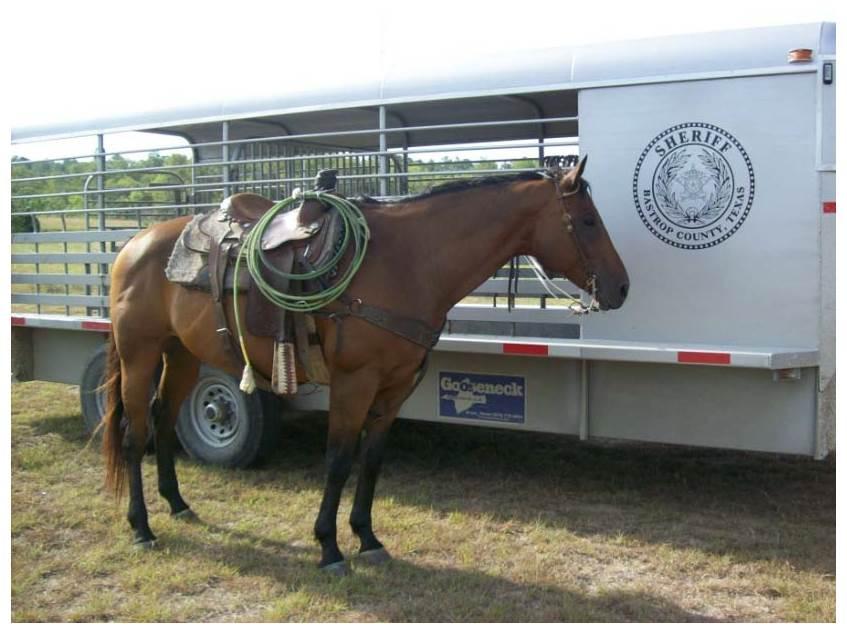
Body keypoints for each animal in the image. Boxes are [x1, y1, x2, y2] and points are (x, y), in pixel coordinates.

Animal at [100, 156, 629, 573]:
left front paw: (368, 539)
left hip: (181, 355)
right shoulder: (354, 384)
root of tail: (135, 244)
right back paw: (141, 527)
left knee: (164, 422)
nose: (622, 287)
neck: (407, 261)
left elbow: (371, 461)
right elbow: (338, 461)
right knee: (134, 435)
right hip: (139, 355)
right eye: (587, 221)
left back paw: (178, 504)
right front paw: (329, 548)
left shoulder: (395, 388)